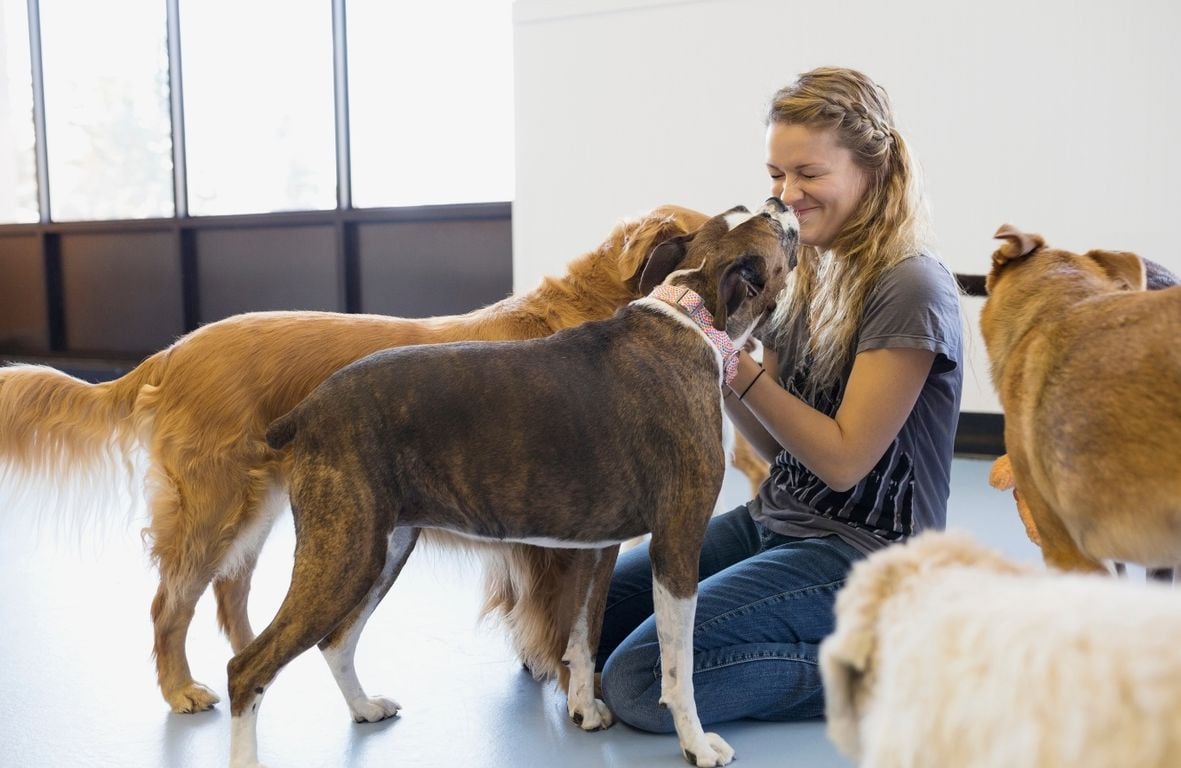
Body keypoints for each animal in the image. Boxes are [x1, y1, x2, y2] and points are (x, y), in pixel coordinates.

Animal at [0, 200, 765, 708]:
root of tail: (172, 350)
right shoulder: (554, 537)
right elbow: (564, 620)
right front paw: (576, 686)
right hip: (221, 507)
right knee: (170, 603)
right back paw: (182, 688)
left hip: (272, 509)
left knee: (233, 593)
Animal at [225, 198, 798, 765]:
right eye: (774, 229)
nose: (780, 202)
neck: (693, 318)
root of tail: (309, 408)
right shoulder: (677, 544)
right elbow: (678, 666)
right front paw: (696, 743)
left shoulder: (597, 551)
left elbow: (583, 634)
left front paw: (583, 709)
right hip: (344, 554)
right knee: (248, 667)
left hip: (380, 552)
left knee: (336, 641)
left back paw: (364, 707)